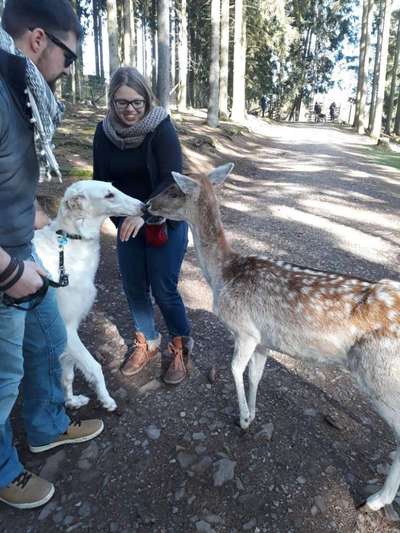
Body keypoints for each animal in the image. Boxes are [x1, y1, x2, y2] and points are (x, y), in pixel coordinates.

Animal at [34, 181, 144, 410]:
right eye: (109, 195)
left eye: (114, 188)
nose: (144, 206)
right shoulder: (65, 329)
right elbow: (95, 367)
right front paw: (106, 399)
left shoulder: (69, 331)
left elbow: (68, 376)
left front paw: (71, 401)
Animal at [148, 163, 400, 512]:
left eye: (173, 190)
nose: (147, 205)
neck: (223, 275)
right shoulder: (264, 340)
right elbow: (255, 375)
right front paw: (253, 414)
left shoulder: (245, 329)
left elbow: (234, 369)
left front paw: (242, 418)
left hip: (381, 375)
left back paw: (376, 500)